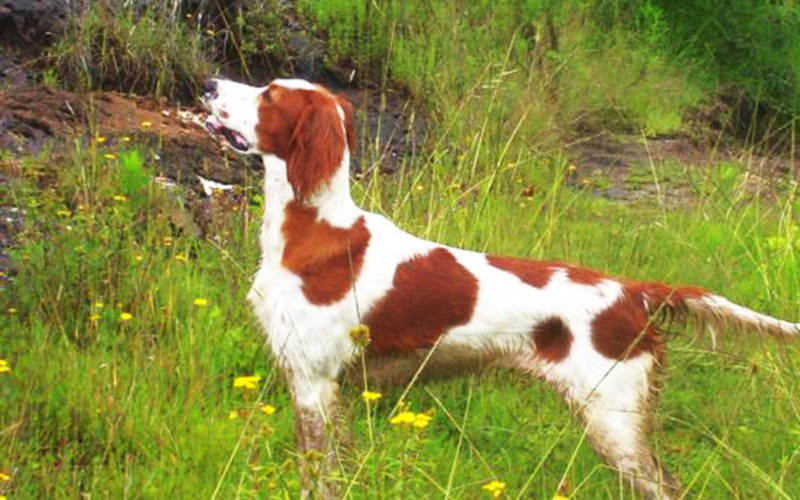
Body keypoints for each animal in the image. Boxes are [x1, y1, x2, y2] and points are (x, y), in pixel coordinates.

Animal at [203, 78, 796, 500]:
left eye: (269, 94)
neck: (313, 228)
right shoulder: (312, 383)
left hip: (617, 422)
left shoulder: (316, 382)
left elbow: (319, 476)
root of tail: (634, 293)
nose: (208, 84)